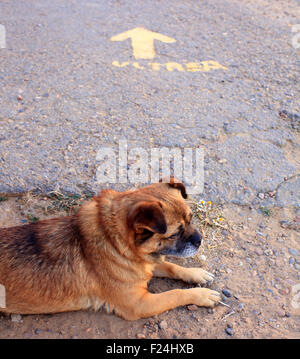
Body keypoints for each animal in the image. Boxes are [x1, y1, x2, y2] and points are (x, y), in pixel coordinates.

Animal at [0, 180, 220, 320]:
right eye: (175, 234)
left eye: (191, 218)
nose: (200, 240)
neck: (116, 242)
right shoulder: (140, 304)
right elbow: (175, 293)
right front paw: (201, 295)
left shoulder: (146, 264)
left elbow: (172, 266)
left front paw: (196, 274)